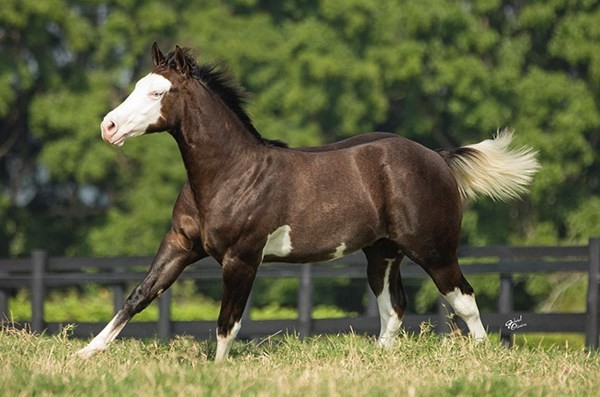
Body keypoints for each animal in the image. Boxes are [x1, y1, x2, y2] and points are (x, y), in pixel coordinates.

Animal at [77, 42, 540, 358]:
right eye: (139, 86)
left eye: (158, 94)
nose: (108, 127)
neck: (231, 173)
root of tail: (437, 157)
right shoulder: (181, 245)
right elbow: (139, 296)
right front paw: (85, 353)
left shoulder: (242, 258)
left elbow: (229, 321)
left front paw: (216, 371)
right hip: (382, 253)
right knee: (393, 308)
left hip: (434, 249)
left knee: (464, 299)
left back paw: (482, 356)